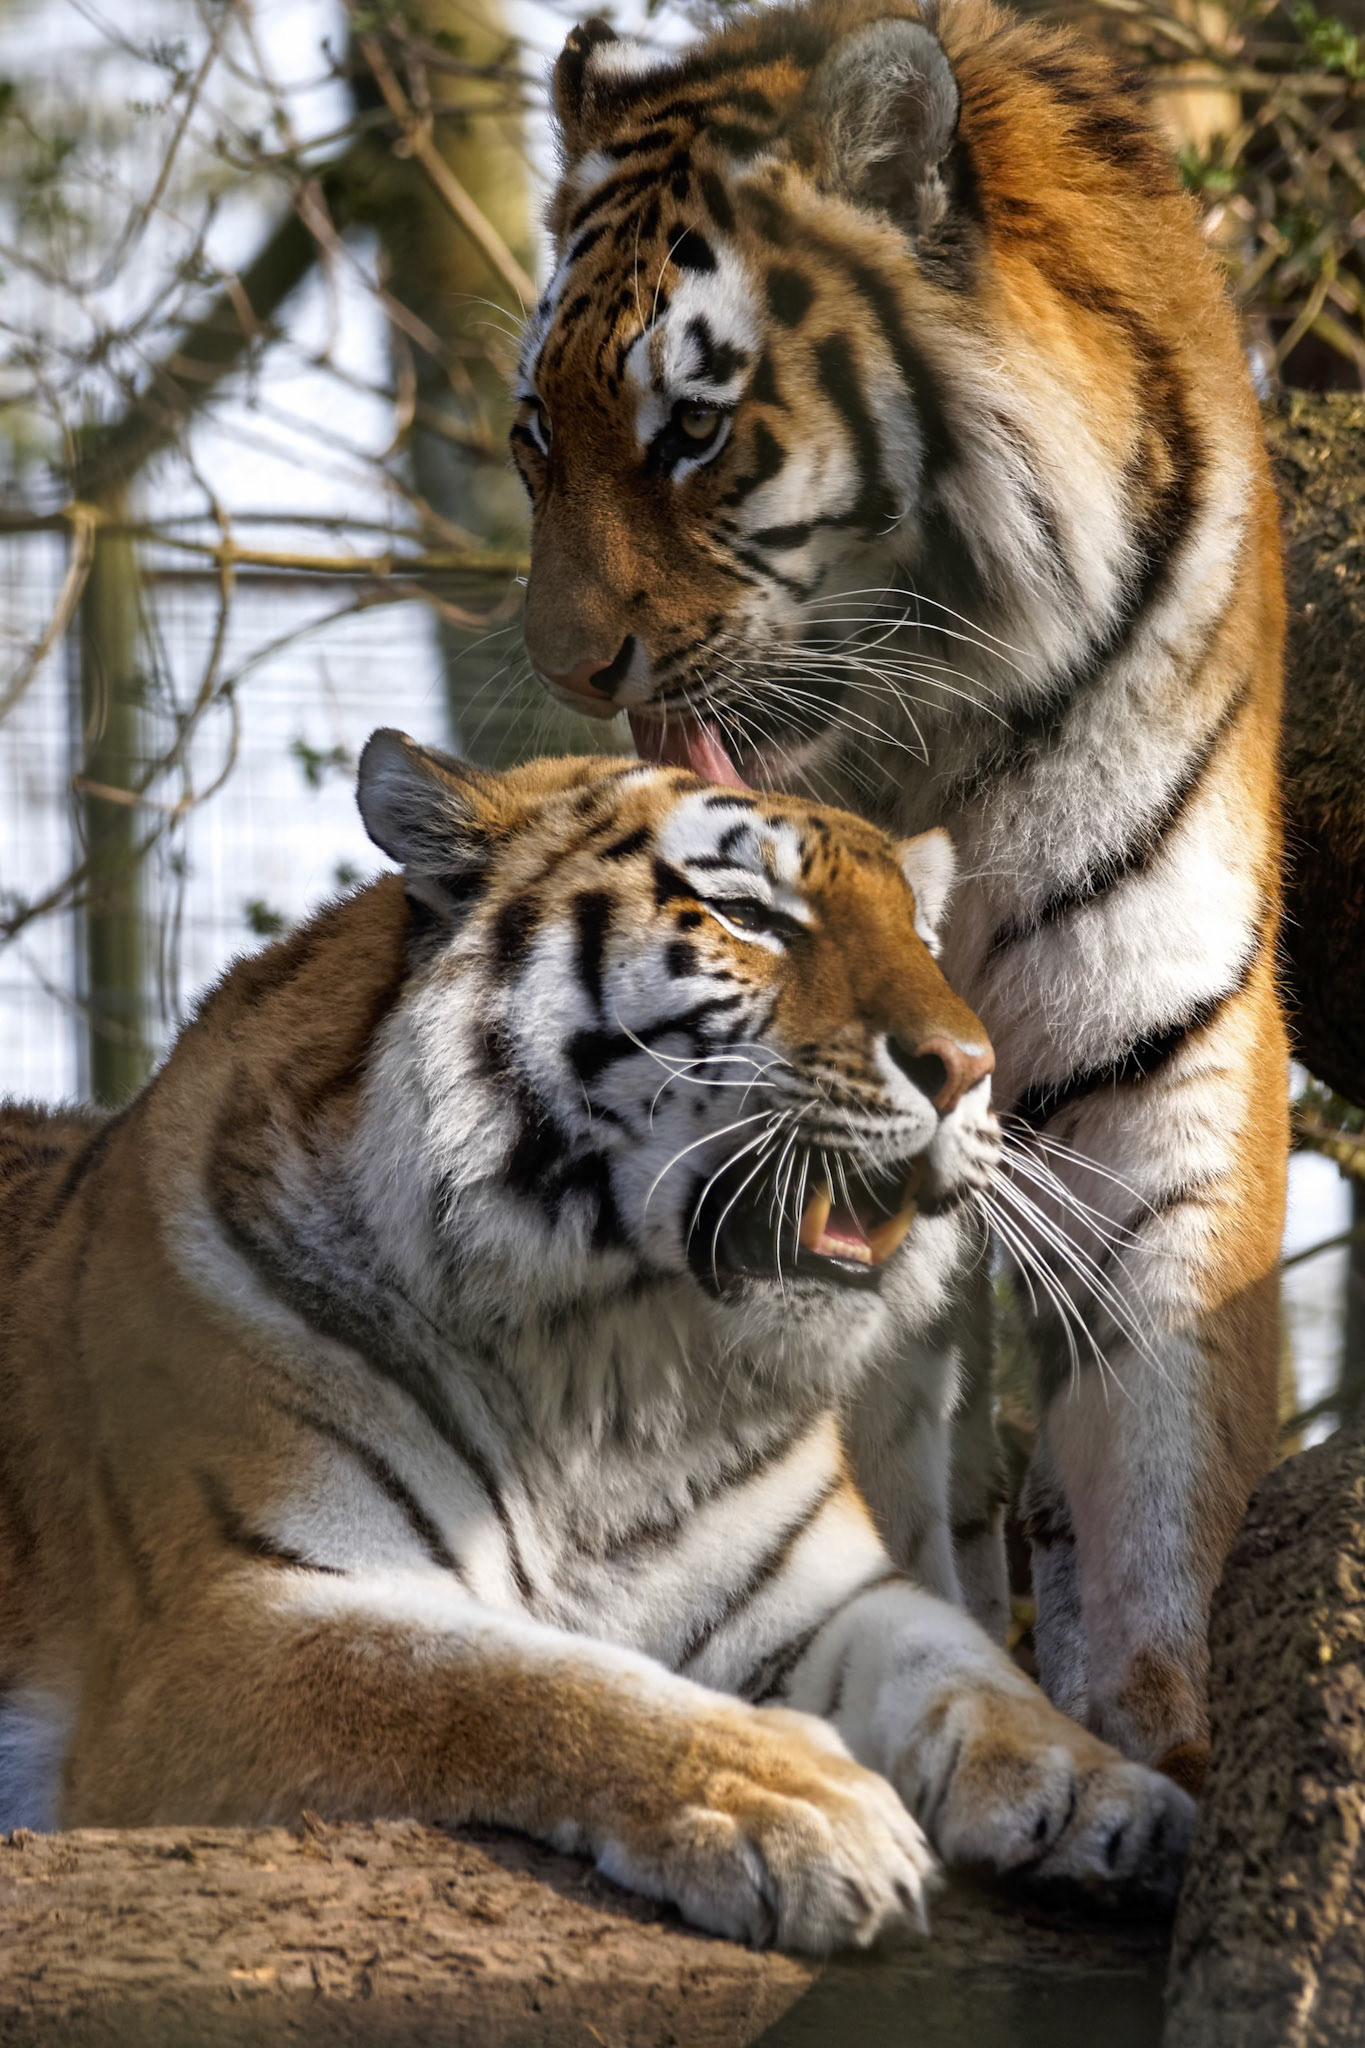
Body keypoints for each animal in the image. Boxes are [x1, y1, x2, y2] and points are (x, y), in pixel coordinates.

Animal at [0, 733, 1194, 1948]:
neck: (617, 1371)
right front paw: (796, 1798)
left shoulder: (825, 1596)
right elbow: (503, 1677)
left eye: (923, 940)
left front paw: (1103, 1792)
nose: (966, 1064)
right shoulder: (221, 1625)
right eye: (747, 913)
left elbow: (962, 1661)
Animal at [512, 0, 1288, 1789]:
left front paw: (1152, 1723)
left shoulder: (1158, 1033)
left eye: (691, 432)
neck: (933, 699)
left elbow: (1159, 1409)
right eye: (535, 440)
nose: (566, 668)